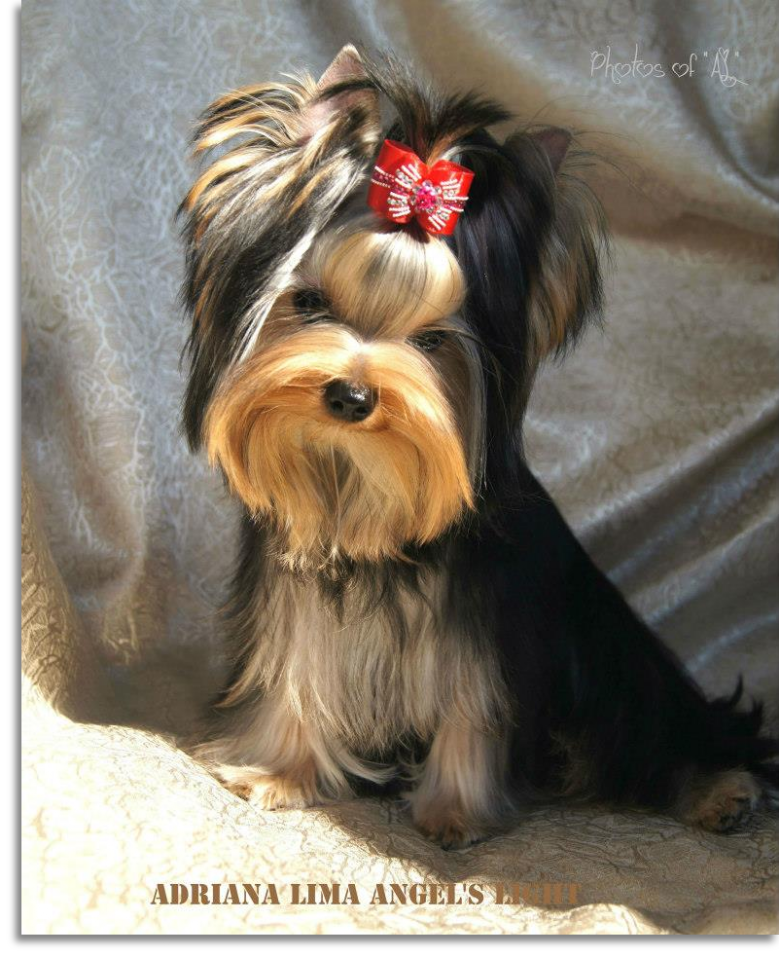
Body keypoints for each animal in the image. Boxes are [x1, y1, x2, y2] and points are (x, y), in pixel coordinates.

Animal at [178, 45, 778, 848]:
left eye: (434, 341)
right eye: (308, 303)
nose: (351, 397)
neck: (360, 484)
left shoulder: (488, 627)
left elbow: (473, 701)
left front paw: (455, 811)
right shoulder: (296, 594)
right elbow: (298, 666)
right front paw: (280, 771)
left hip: (615, 662)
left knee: (663, 733)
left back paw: (720, 790)